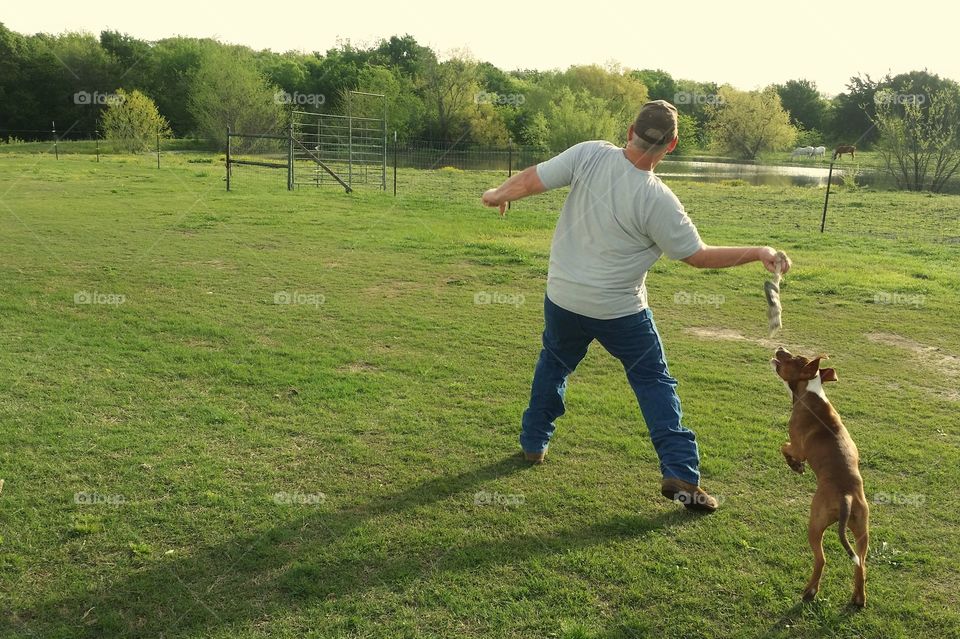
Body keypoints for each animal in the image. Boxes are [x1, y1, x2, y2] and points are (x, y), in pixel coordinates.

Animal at [772, 348, 872, 608]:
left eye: (792, 358)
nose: (780, 348)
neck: (810, 391)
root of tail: (846, 496)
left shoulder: (798, 447)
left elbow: (784, 447)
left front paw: (796, 466)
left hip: (815, 525)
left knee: (821, 559)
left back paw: (810, 591)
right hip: (862, 531)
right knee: (861, 564)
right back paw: (858, 598)